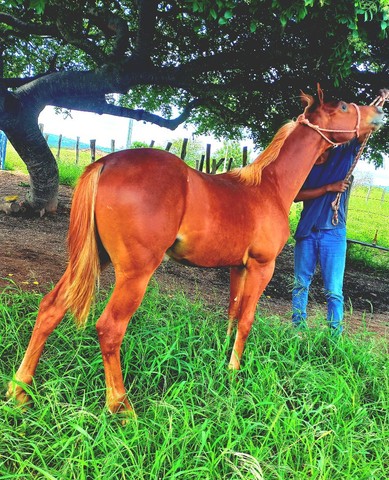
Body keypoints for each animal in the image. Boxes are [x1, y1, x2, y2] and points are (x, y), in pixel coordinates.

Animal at [7, 89, 384, 416]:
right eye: (345, 107)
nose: (379, 111)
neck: (269, 188)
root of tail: (107, 163)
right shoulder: (262, 267)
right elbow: (247, 320)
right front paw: (234, 372)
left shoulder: (237, 268)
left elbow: (232, 314)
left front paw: (222, 360)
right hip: (134, 273)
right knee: (110, 328)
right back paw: (122, 407)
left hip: (90, 259)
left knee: (51, 308)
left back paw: (19, 391)